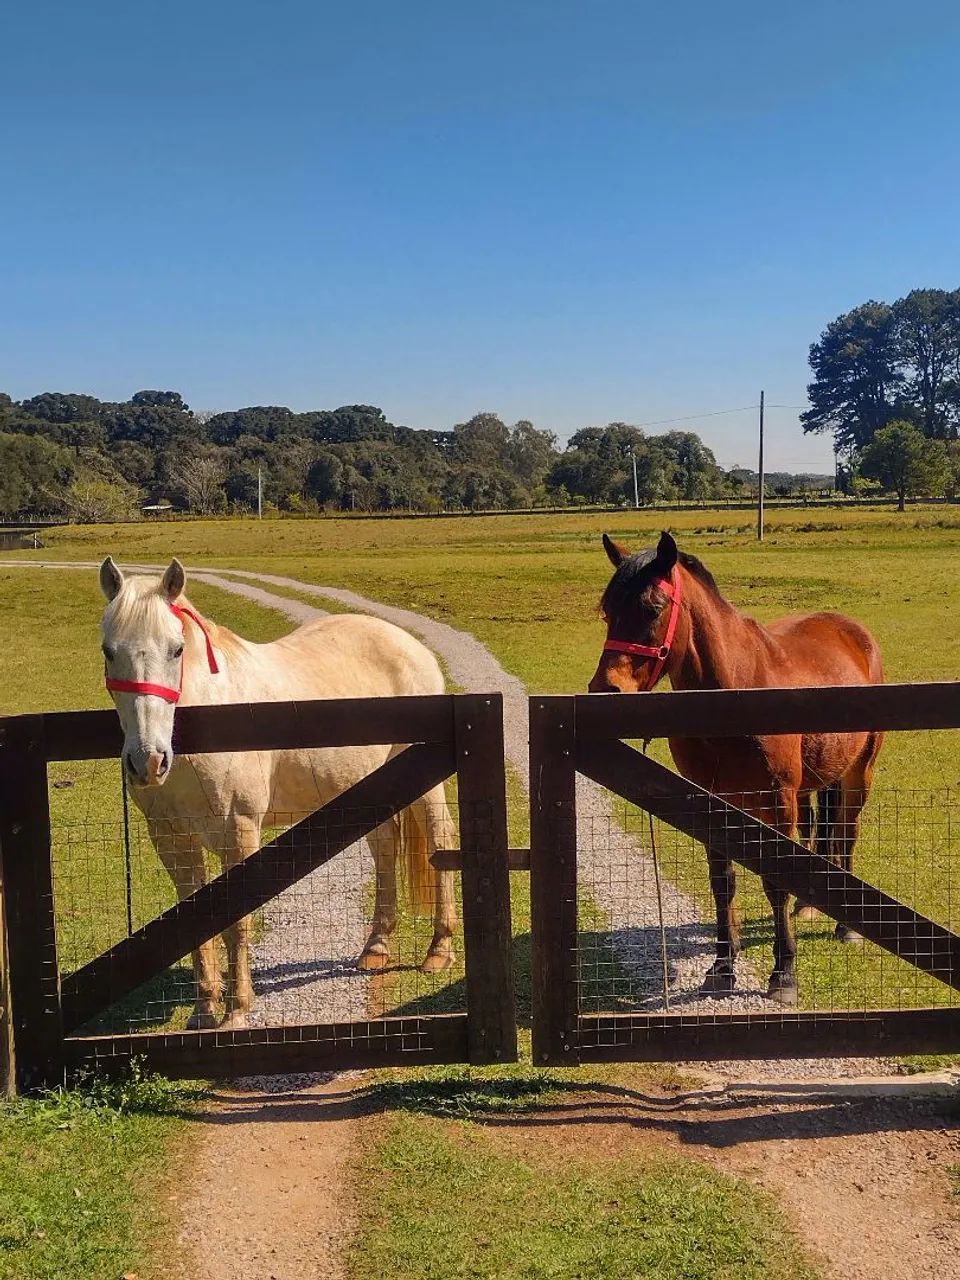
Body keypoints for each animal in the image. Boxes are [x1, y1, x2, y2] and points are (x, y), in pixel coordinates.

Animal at [98, 556, 457, 1029]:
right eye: (109, 650)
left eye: (176, 649)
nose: (148, 761)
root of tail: (412, 646)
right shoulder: (171, 839)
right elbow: (194, 922)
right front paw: (204, 1009)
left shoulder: (239, 833)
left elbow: (237, 921)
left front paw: (236, 1009)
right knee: (384, 848)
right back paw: (375, 948)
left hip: (424, 785)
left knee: (439, 840)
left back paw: (439, 950)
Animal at [588, 531, 884, 1005]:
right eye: (607, 611)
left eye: (652, 608)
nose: (605, 689)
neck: (734, 693)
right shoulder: (710, 802)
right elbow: (722, 881)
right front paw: (723, 966)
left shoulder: (778, 804)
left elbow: (776, 882)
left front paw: (784, 974)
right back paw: (810, 904)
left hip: (858, 775)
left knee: (846, 832)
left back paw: (846, 925)